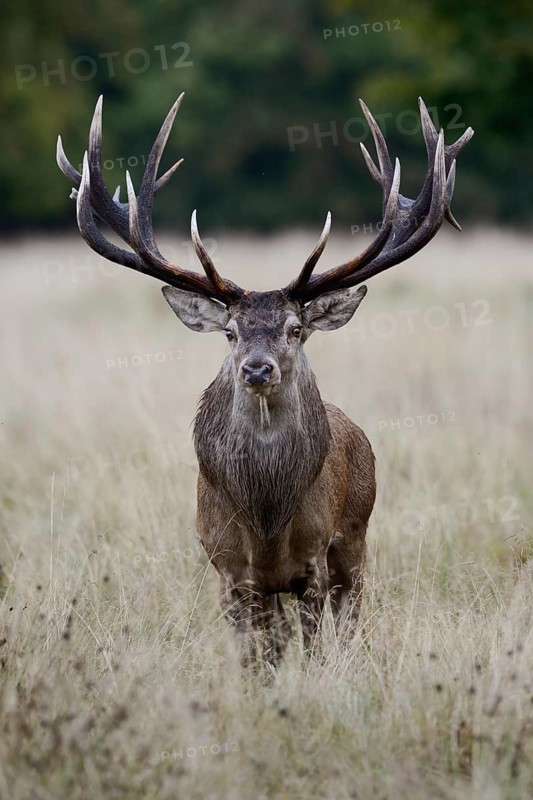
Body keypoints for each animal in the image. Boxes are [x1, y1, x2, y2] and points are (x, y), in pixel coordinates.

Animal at [57, 94, 473, 665]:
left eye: (295, 329)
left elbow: (317, 647)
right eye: (230, 332)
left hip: (357, 536)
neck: (267, 521)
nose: (257, 368)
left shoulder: (314, 559)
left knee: (351, 616)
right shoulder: (229, 568)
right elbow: (256, 662)